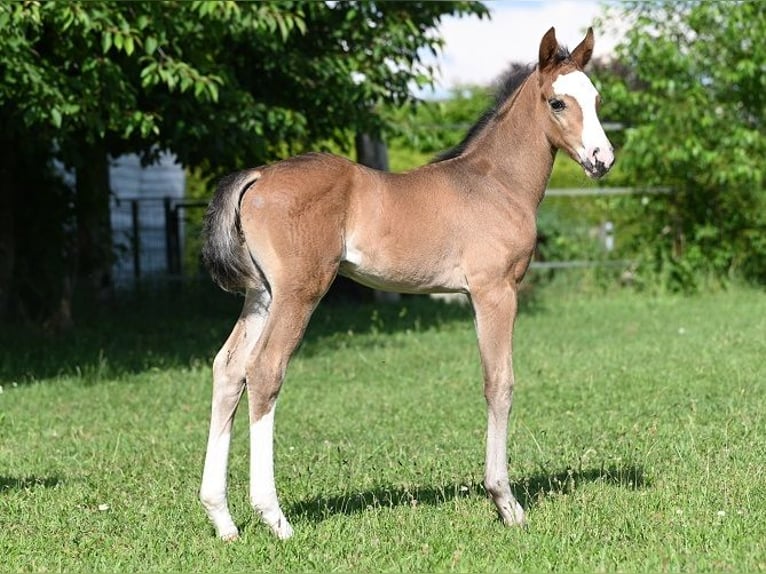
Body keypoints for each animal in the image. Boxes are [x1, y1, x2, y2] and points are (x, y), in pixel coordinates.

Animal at [200, 25, 616, 540]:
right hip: (299, 292)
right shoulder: (494, 291)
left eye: (596, 99)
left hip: (261, 296)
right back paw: (274, 518)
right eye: (558, 102)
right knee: (264, 371)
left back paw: (222, 519)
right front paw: (505, 502)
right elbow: (499, 384)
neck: (495, 183)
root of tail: (257, 176)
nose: (602, 159)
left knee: (228, 369)